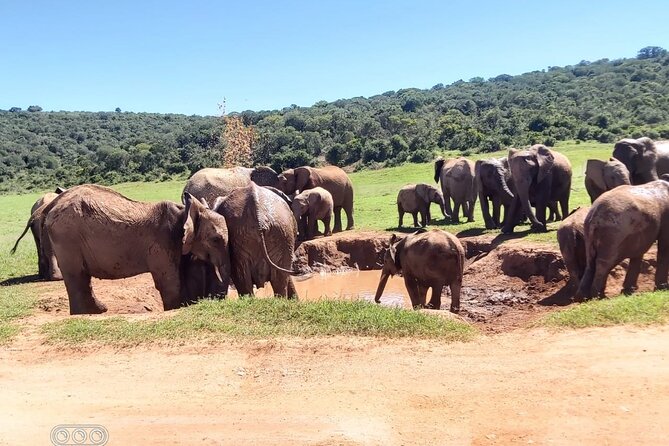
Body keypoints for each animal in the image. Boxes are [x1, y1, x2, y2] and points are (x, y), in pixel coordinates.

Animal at [44, 184, 231, 314]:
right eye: (216, 240)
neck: (183, 212)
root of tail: (51, 207)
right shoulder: (162, 243)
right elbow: (169, 282)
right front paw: (175, 308)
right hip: (67, 237)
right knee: (77, 275)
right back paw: (87, 313)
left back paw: (98, 311)